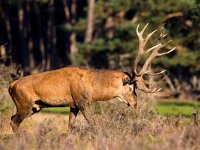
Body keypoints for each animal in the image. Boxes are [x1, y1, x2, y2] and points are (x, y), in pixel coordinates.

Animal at [8, 23, 175, 132]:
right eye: (131, 87)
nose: (135, 104)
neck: (94, 89)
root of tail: (11, 86)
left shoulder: (73, 105)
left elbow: (70, 128)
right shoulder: (82, 102)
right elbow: (94, 124)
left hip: (35, 106)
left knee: (11, 118)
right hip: (24, 104)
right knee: (14, 122)